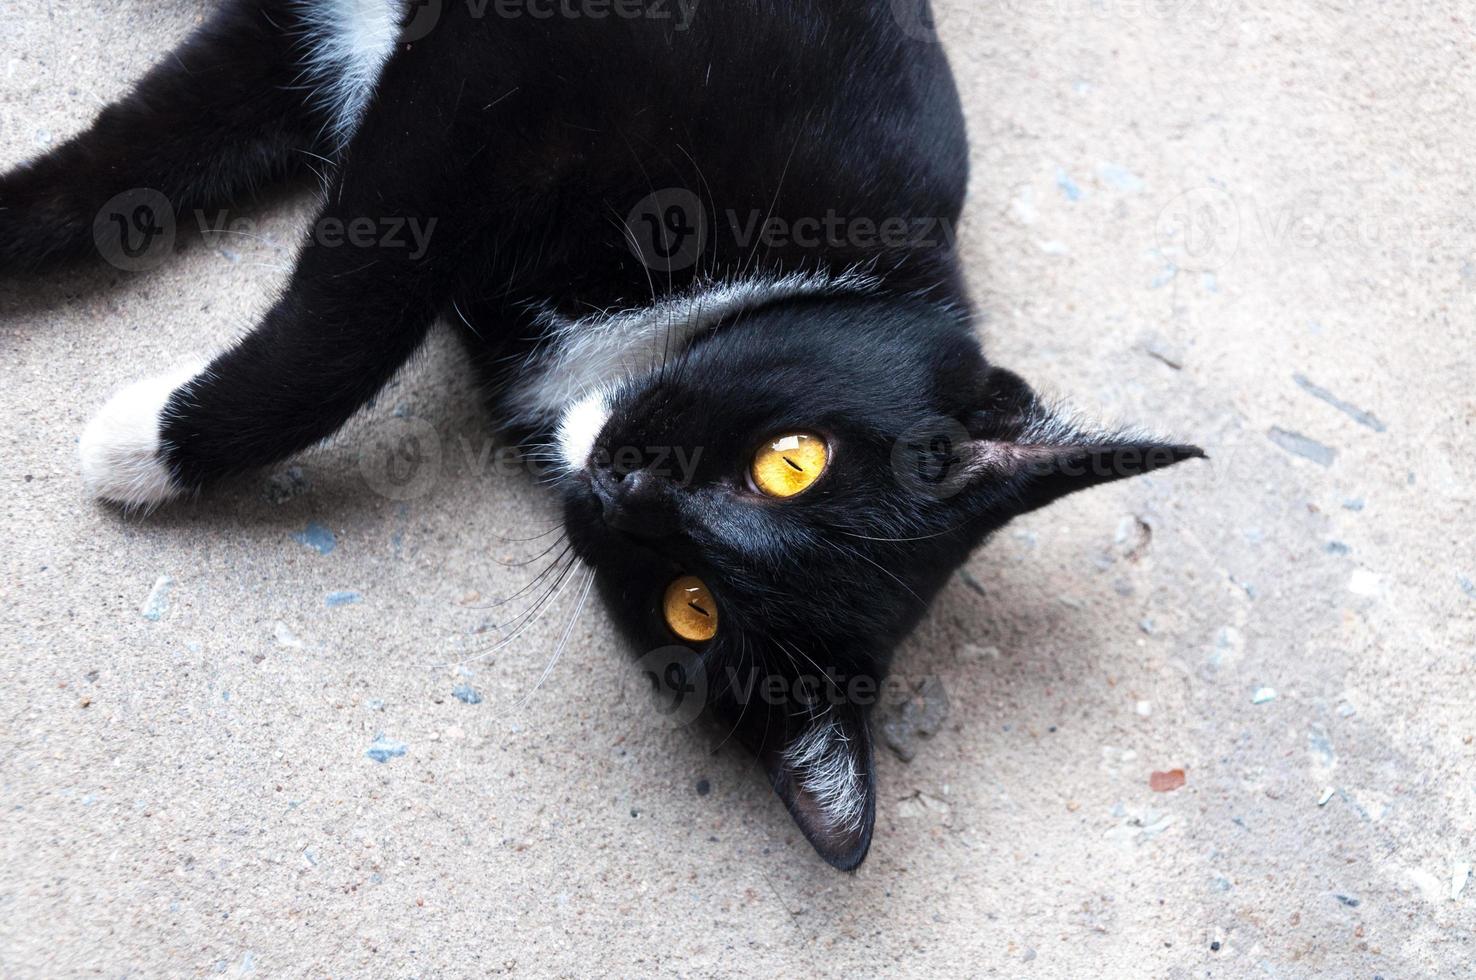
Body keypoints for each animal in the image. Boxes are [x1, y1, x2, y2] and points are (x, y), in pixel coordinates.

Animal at [0, 0, 1198, 873]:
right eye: (793, 460)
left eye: (692, 608)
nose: (629, 487)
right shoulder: (487, 85)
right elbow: (339, 303)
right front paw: (141, 437)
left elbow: (221, 206)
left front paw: (144, 446)